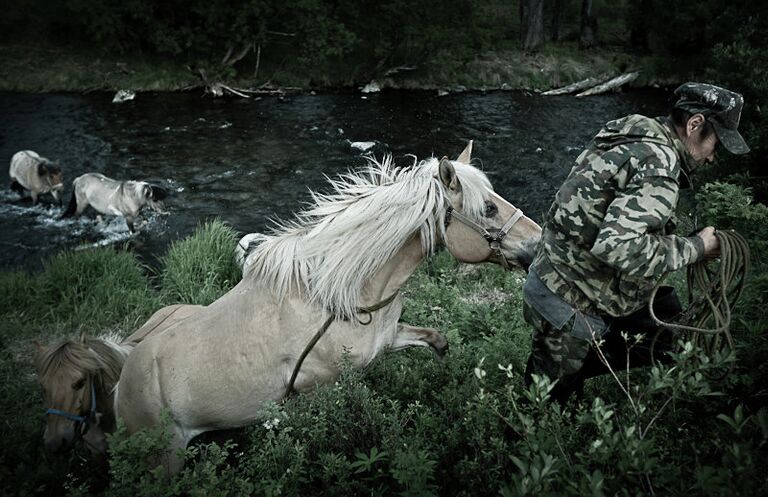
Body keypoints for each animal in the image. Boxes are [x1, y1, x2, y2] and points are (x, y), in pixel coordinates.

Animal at [117, 143, 544, 472]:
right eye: (488, 208)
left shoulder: (387, 339)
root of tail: (122, 382)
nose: (539, 243)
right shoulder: (314, 387)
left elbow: (437, 341)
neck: (341, 295)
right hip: (166, 458)